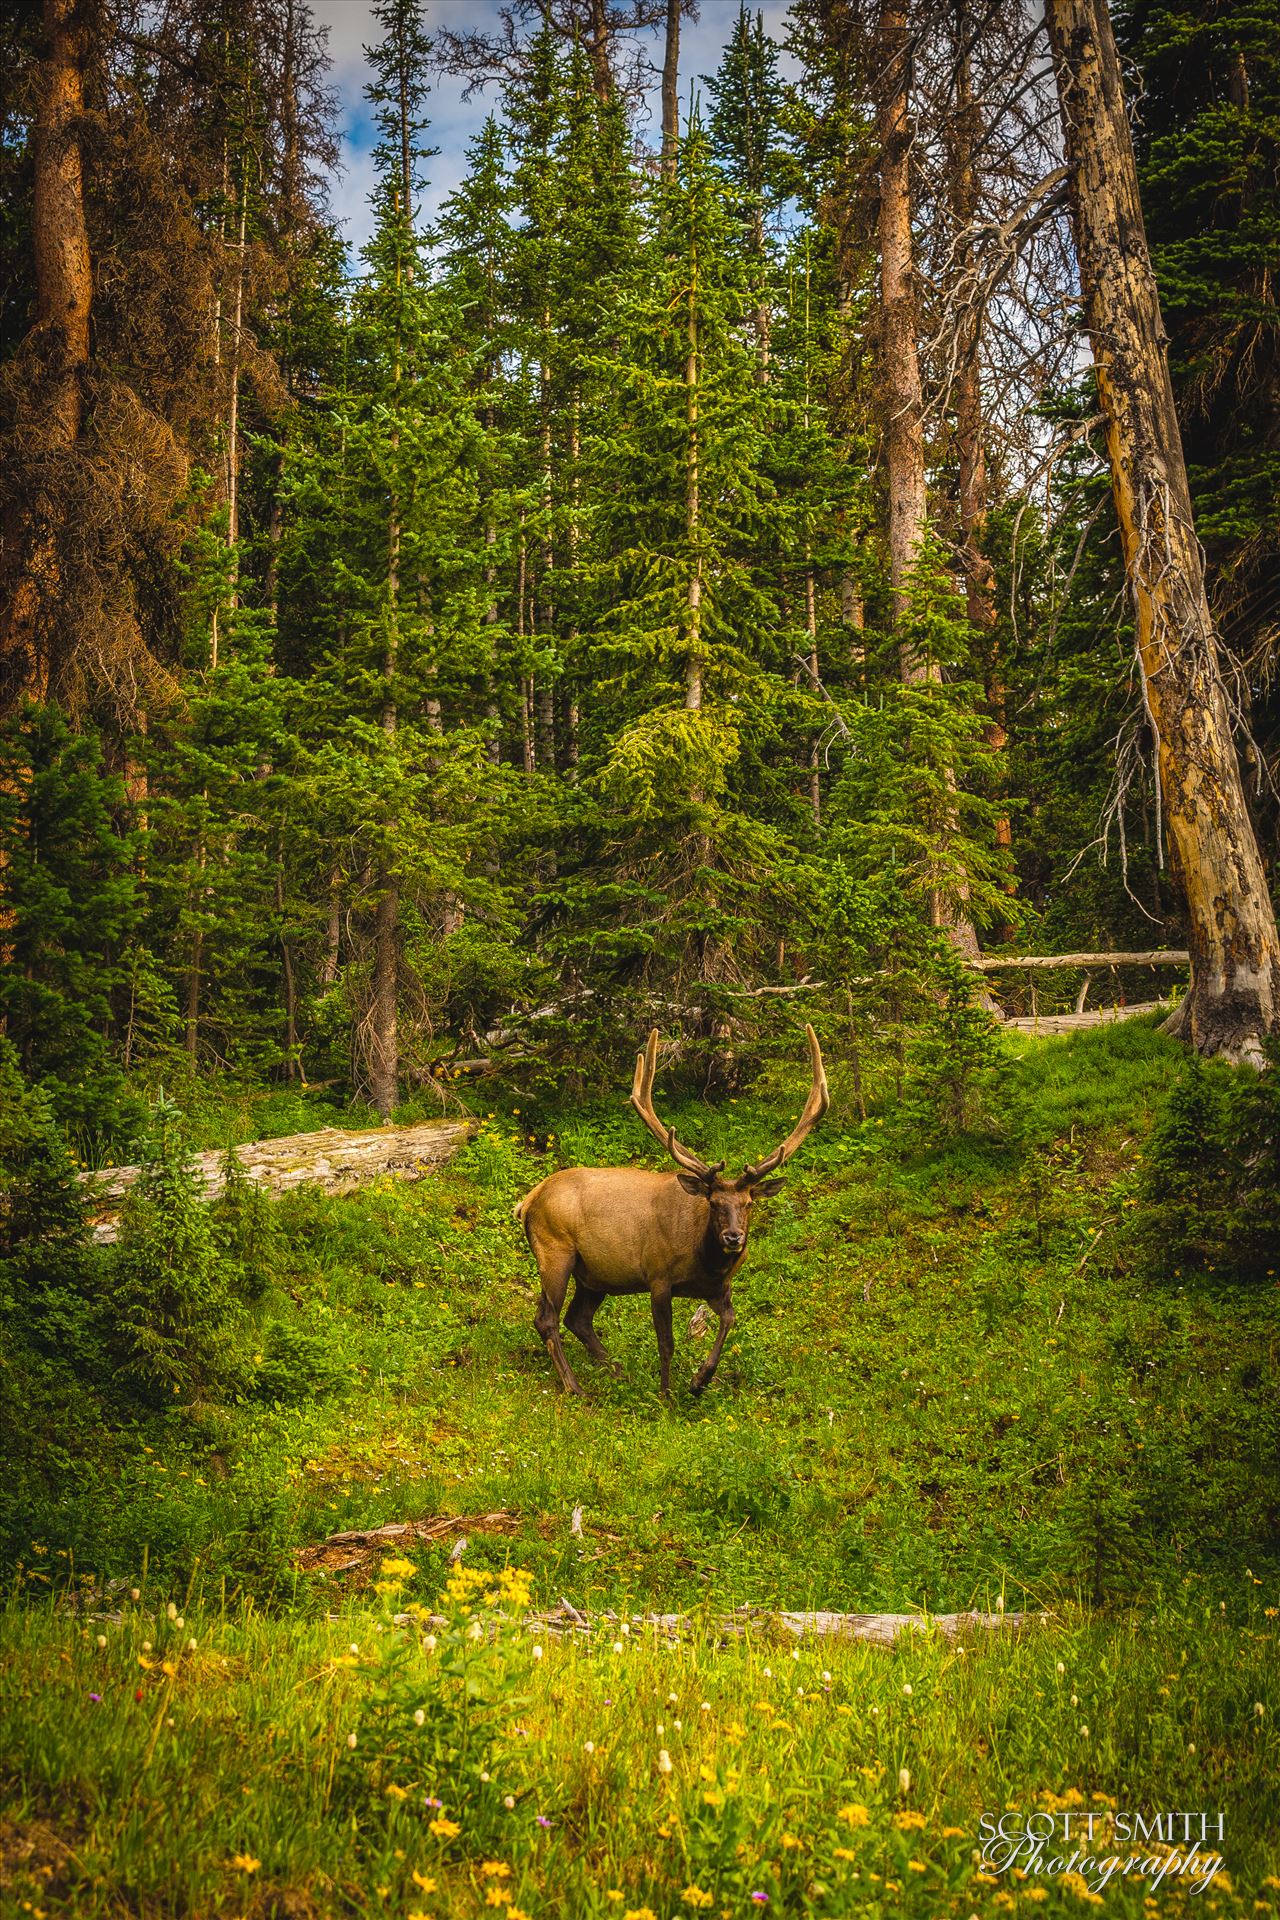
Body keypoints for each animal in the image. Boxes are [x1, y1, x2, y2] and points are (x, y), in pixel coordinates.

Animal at [514, 1029, 832, 1405]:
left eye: (748, 1203)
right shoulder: (658, 1277)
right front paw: (666, 1395)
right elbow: (666, 1343)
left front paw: (699, 1380)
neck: (703, 1260)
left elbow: (729, 1321)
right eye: (713, 1202)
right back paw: (576, 1386)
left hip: (593, 1275)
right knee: (546, 1317)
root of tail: (528, 1201)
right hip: (555, 1252)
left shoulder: (718, 1288)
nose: (733, 1237)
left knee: (577, 1318)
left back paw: (619, 1372)